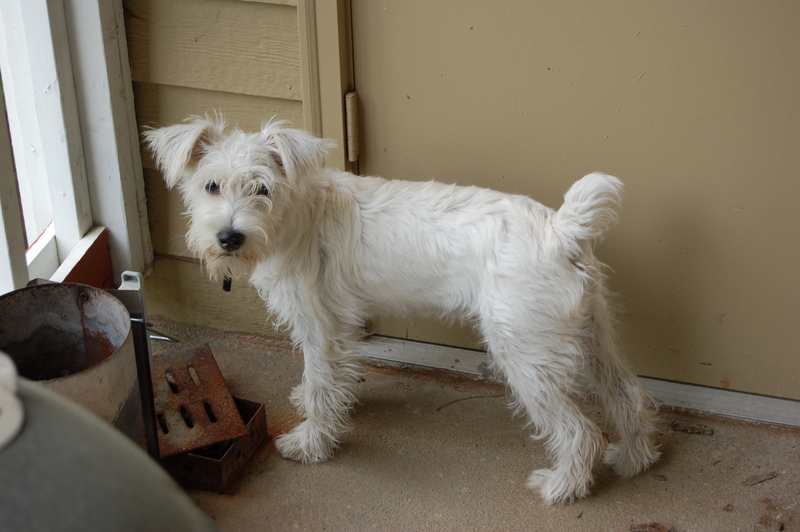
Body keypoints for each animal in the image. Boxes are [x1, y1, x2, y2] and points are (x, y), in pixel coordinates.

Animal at [144, 115, 660, 504]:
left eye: (263, 189)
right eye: (211, 185)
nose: (229, 237)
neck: (296, 217)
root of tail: (560, 230)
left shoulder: (321, 327)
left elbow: (321, 385)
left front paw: (311, 443)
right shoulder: (335, 327)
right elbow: (323, 380)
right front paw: (316, 405)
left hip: (527, 355)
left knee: (580, 431)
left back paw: (561, 488)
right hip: (589, 337)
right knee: (627, 395)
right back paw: (632, 459)